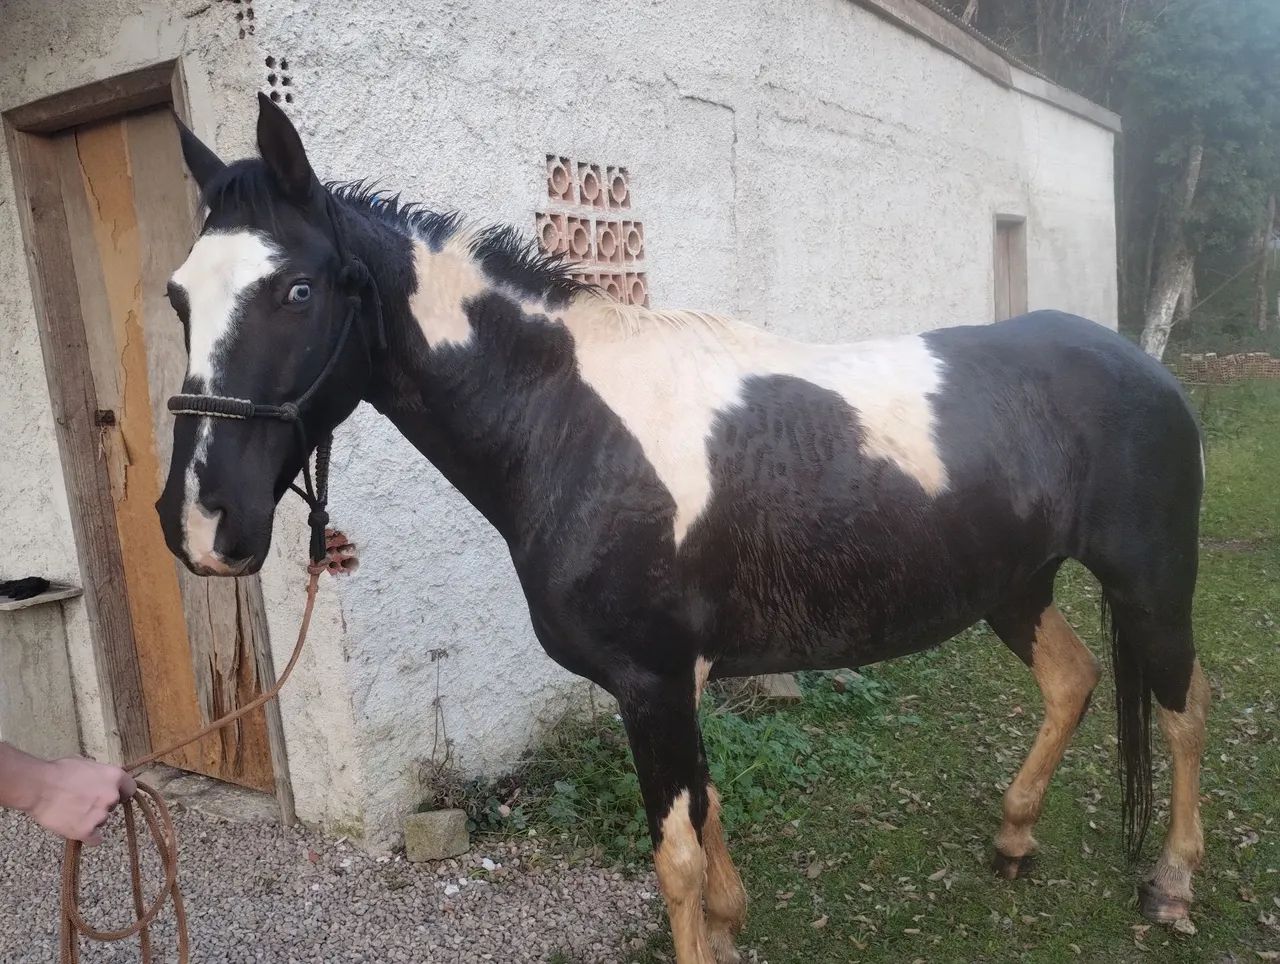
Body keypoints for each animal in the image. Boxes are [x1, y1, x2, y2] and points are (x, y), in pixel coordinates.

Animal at [155, 94, 1209, 963]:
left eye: (298, 290)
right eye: (178, 296)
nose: (200, 519)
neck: (569, 425)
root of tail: (1144, 367)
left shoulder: (651, 681)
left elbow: (678, 860)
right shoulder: (678, 681)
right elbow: (708, 814)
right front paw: (737, 924)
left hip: (1151, 584)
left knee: (1183, 704)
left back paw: (1171, 884)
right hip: (1014, 585)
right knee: (1073, 680)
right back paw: (1014, 836)